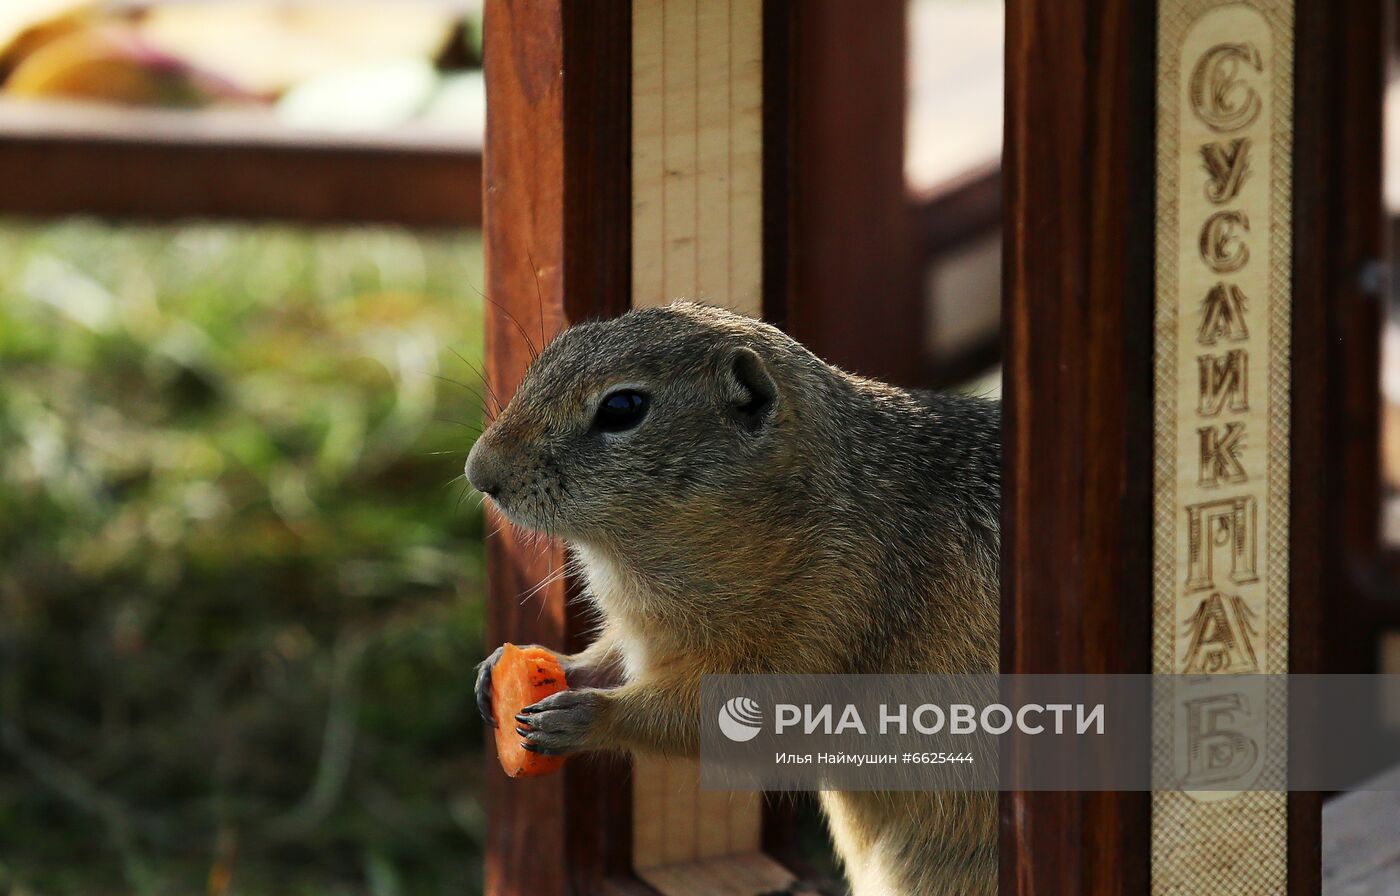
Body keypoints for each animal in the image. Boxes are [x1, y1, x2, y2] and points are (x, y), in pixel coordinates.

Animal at [467, 305, 996, 890]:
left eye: (623, 408)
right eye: (548, 355)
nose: (478, 472)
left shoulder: (822, 624)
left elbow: (705, 718)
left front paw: (590, 716)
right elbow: (608, 660)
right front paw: (516, 668)